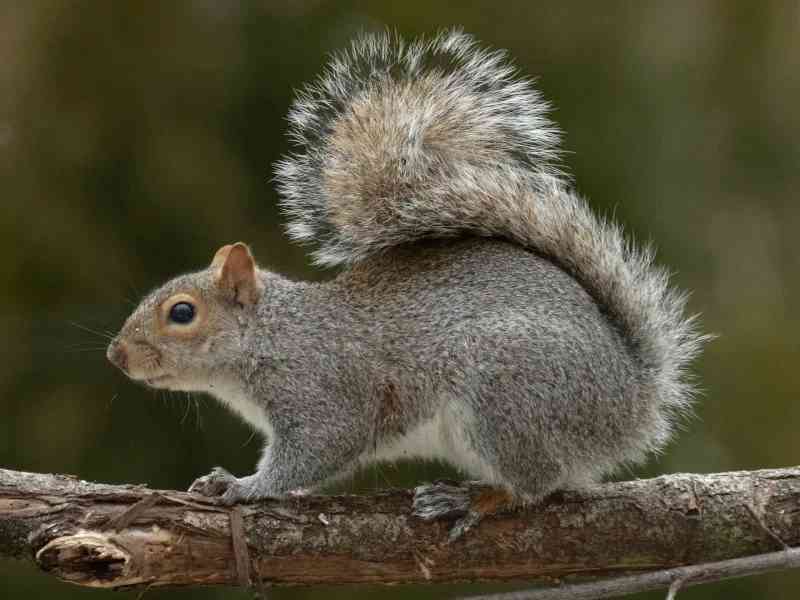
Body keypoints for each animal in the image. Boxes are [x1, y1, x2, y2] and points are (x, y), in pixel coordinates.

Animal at [107, 30, 707, 506]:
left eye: (182, 313)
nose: (116, 356)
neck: (273, 336)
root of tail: (632, 402)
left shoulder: (325, 393)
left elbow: (314, 453)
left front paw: (245, 486)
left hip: (508, 395)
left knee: (535, 485)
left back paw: (475, 500)